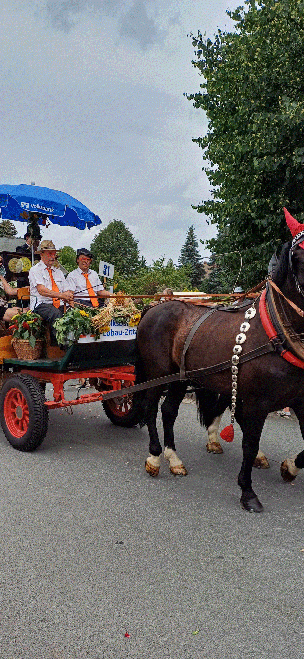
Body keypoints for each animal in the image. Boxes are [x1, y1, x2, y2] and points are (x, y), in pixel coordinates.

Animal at [137, 209, 304, 512]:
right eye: (300, 254)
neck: (278, 330)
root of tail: (154, 307)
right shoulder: (257, 402)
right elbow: (249, 444)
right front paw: (248, 491)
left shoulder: (300, 399)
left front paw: (289, 468)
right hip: (157, 374)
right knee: (150, 407)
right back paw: (154, 457)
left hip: (180, 377)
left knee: (168, 411)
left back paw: (173, 458)